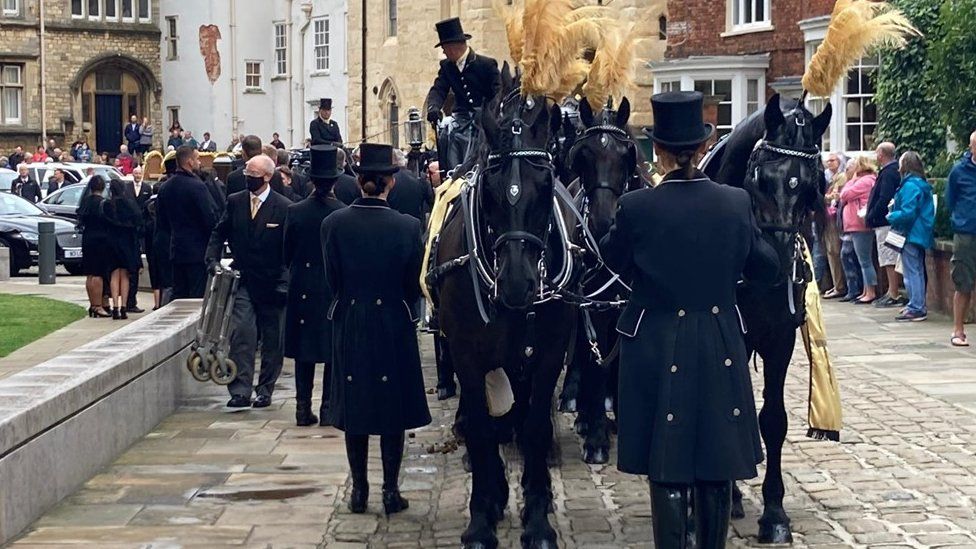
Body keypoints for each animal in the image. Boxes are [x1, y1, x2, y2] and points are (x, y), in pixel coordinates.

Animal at [430, 65, 576, 548]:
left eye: (546, 183)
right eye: (491, 185)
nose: (516, 283)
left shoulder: (547, 352)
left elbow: (533, 425)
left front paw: (537, 517)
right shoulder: (466, 353)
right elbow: (480, 426)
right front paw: (482, 514)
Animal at [700, 94, 832, 544]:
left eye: (811, 186)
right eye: (759, 178)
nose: (775, 266)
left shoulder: (779, 339)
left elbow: (773, 420)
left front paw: (774, 512)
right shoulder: (732, 336)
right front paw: (730, 493)